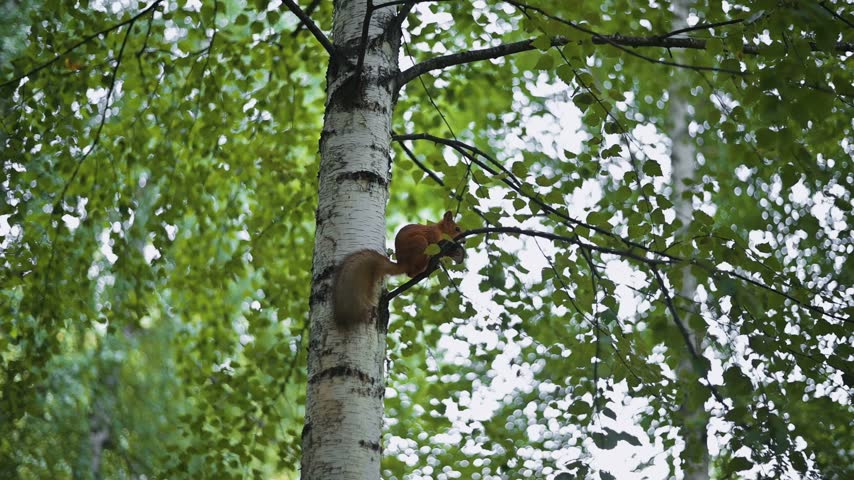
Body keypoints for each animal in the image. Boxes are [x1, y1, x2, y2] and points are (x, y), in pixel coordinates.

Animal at [333, 210, 465, 327]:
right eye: (457, 229)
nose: (463, 241)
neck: (440, 229)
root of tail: (403, 263)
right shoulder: (433, 236)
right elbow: (436, 245)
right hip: (420, 242)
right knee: (412, 272)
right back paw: (428, 263)